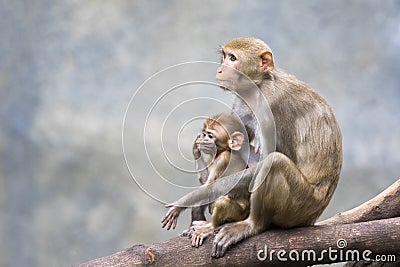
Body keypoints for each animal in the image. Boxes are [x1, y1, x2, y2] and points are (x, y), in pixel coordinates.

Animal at [162, 112, 250, 247]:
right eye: (205, 134)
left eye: (211, 135)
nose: (204, 139)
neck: (224, 151)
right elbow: (204, 185)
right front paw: (195, 149)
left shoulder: (223, 160)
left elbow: (209, 188)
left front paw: (177, 207)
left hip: (240, 214)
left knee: (222, 202)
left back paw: (209, 227)